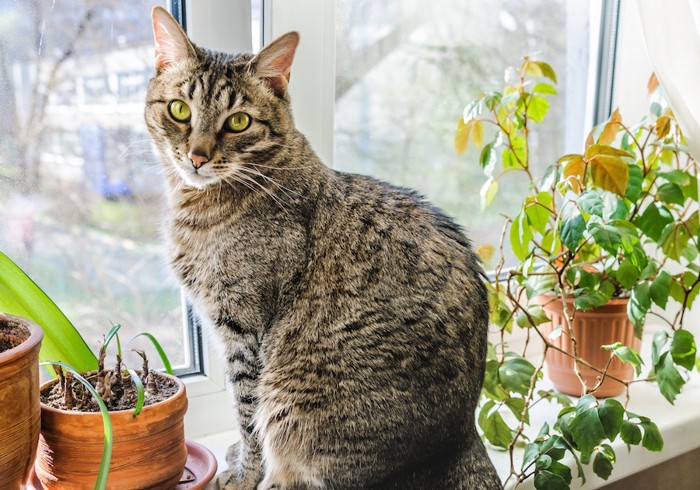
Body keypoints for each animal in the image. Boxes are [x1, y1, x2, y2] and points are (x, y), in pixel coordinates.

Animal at [146, 7, 498, 490]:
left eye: (238, 121)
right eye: (180, 110)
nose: (197, 156)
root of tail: (465, 434)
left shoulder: (243, 326)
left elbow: (246, 411)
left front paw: (245, 473)